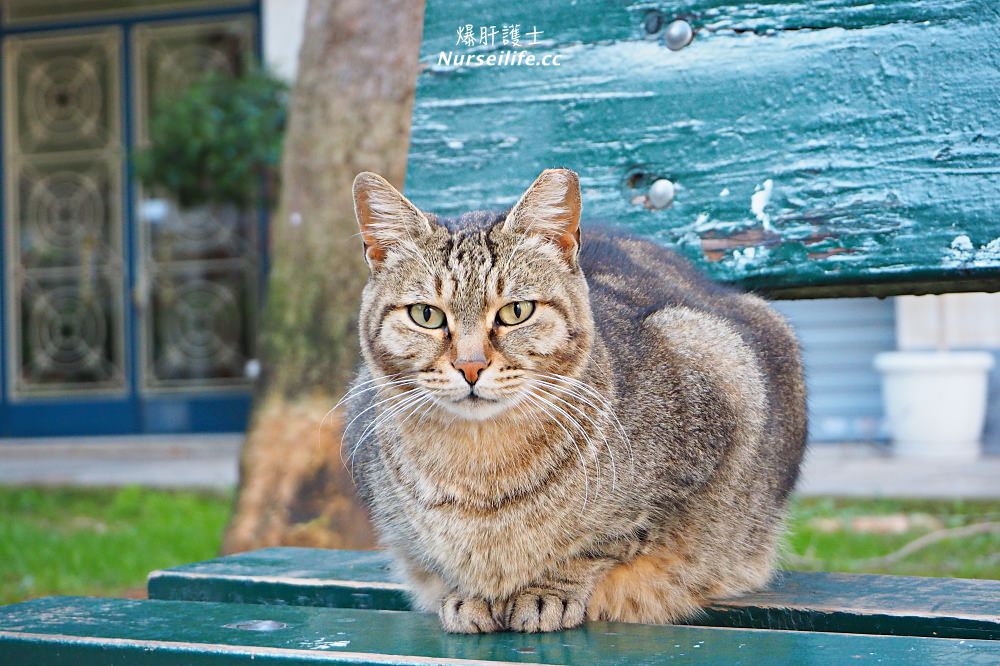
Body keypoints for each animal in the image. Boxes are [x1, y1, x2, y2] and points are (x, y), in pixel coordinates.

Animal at [348, 167, 808, 632]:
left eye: (516, 311)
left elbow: (608, 541)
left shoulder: (716, 372)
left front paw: (548, 590)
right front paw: (470, 593)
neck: (480, 468)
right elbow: (439, 559)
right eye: (427, 315)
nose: (471, 366)